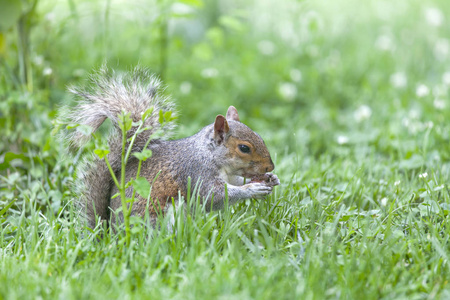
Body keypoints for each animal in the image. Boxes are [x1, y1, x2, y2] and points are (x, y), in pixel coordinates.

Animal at [62, 66, 282, 230]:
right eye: (244, 148)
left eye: (260, 137)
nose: (269, 167)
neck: (209, 154)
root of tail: (112, 234)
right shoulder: (196, 171)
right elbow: (214, 196)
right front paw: (252, 188)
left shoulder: (227, 175)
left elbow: (235, 181)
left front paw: (270, 179)